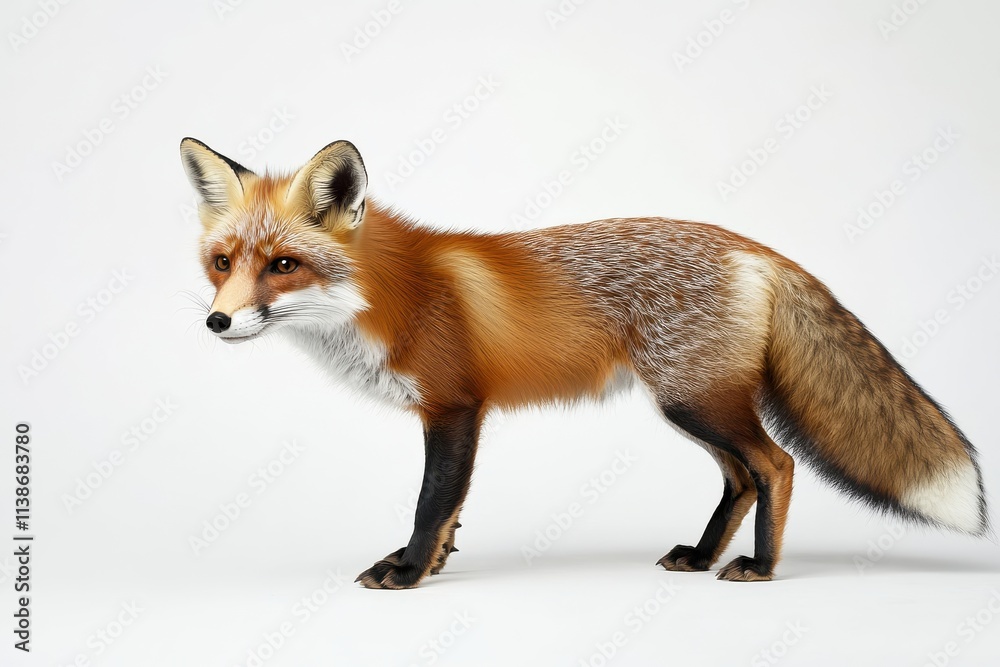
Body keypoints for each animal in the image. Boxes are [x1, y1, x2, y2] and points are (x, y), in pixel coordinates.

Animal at [180, 137, 988, 589]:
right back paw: (701, 554)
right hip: (692, 404)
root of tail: (755, 248)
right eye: (222, 263)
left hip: (697, 401)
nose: (218, 320)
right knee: (741, 476)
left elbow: (433, 501)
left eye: (284, 264)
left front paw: (408, 572)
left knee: (777, 464)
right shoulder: (457, 412)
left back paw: (760, 568)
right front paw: (432, 564)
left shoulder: (454, 405)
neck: (390, 296)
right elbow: (452, 513)